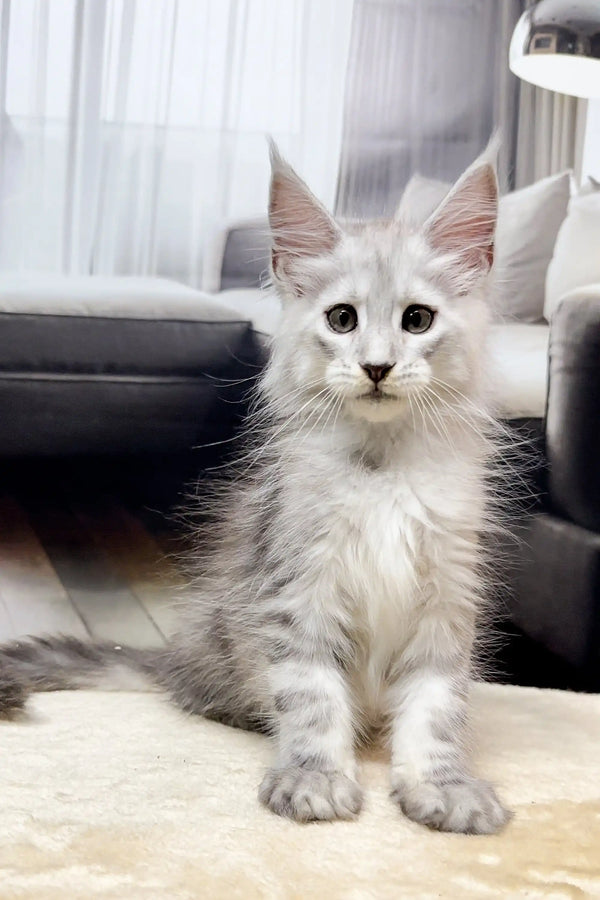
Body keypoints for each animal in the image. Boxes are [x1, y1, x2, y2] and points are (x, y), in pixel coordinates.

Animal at [0, 142, 510, 836]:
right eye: (343, 319)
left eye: (418, 320)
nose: (377, 366)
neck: (380, 470)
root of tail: (174, 653)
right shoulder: (296, 587)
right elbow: (313, 698)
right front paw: (315, 778)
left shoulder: (447, 596)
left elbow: (436, 710)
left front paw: (443, 785)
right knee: (206, 696)